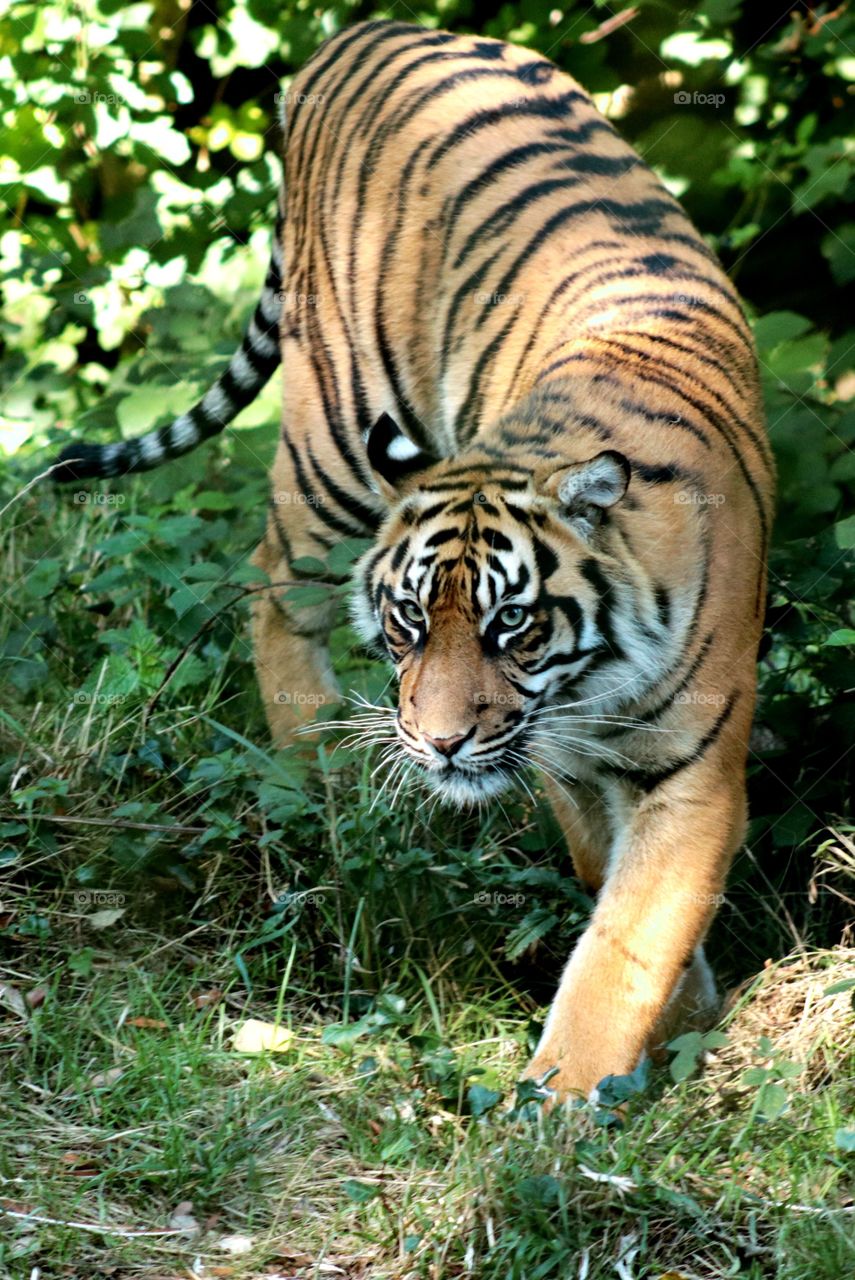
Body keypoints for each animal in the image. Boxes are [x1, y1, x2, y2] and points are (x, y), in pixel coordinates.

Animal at [53, 19, 774, 1104]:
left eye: (512, 624)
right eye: (406, 621)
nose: (437, 745)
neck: (591, 684)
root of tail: (363, 29)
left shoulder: (682, 772)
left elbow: (628, 930)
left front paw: (597, 1074)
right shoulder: (563, 753)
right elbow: (611, 902)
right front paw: (575, 1096)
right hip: (336, 441)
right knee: (270, 579)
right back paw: (313, 765)